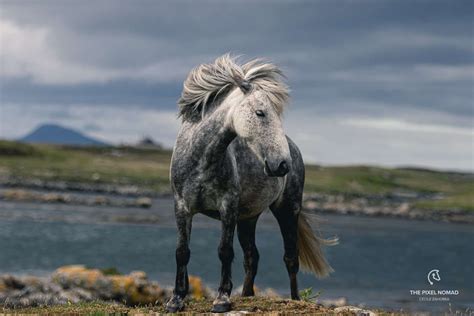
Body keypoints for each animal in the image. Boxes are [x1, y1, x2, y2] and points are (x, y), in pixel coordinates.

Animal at [167, 55, 336, 314]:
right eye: (260, 112)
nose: (282, 164)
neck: (201, 159)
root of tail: (294, 149)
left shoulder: (227, 207)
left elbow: (225, 251)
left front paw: (222, 300)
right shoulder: (182, 207)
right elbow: (181, 252)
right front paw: (176, 299)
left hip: (287, 210)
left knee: (290, 257)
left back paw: (295, 300)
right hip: (248, 219)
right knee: (251, 257)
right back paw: (247, 295)